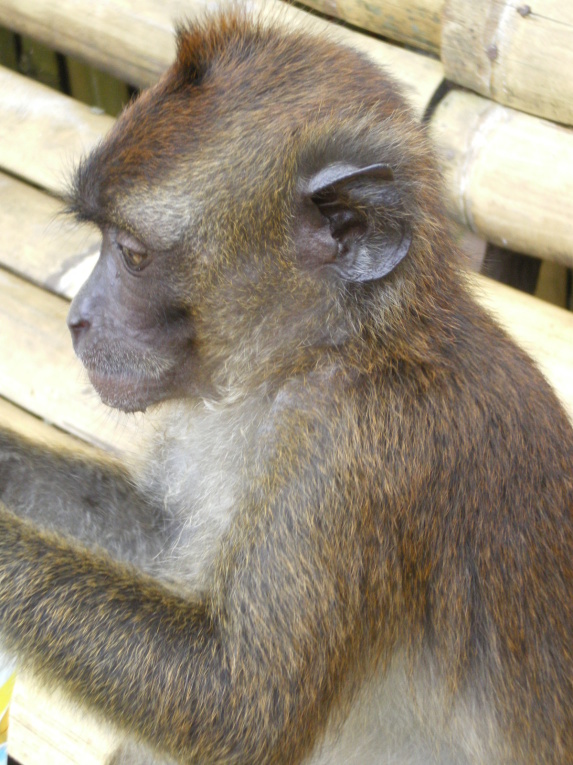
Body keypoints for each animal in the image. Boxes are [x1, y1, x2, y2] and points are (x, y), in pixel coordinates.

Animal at [1, 7, 572, 764]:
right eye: (101, 241)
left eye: (131, 253)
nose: (77, 318)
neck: (310, 357)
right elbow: (160, 536)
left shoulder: (355, 451)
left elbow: (237, 706)